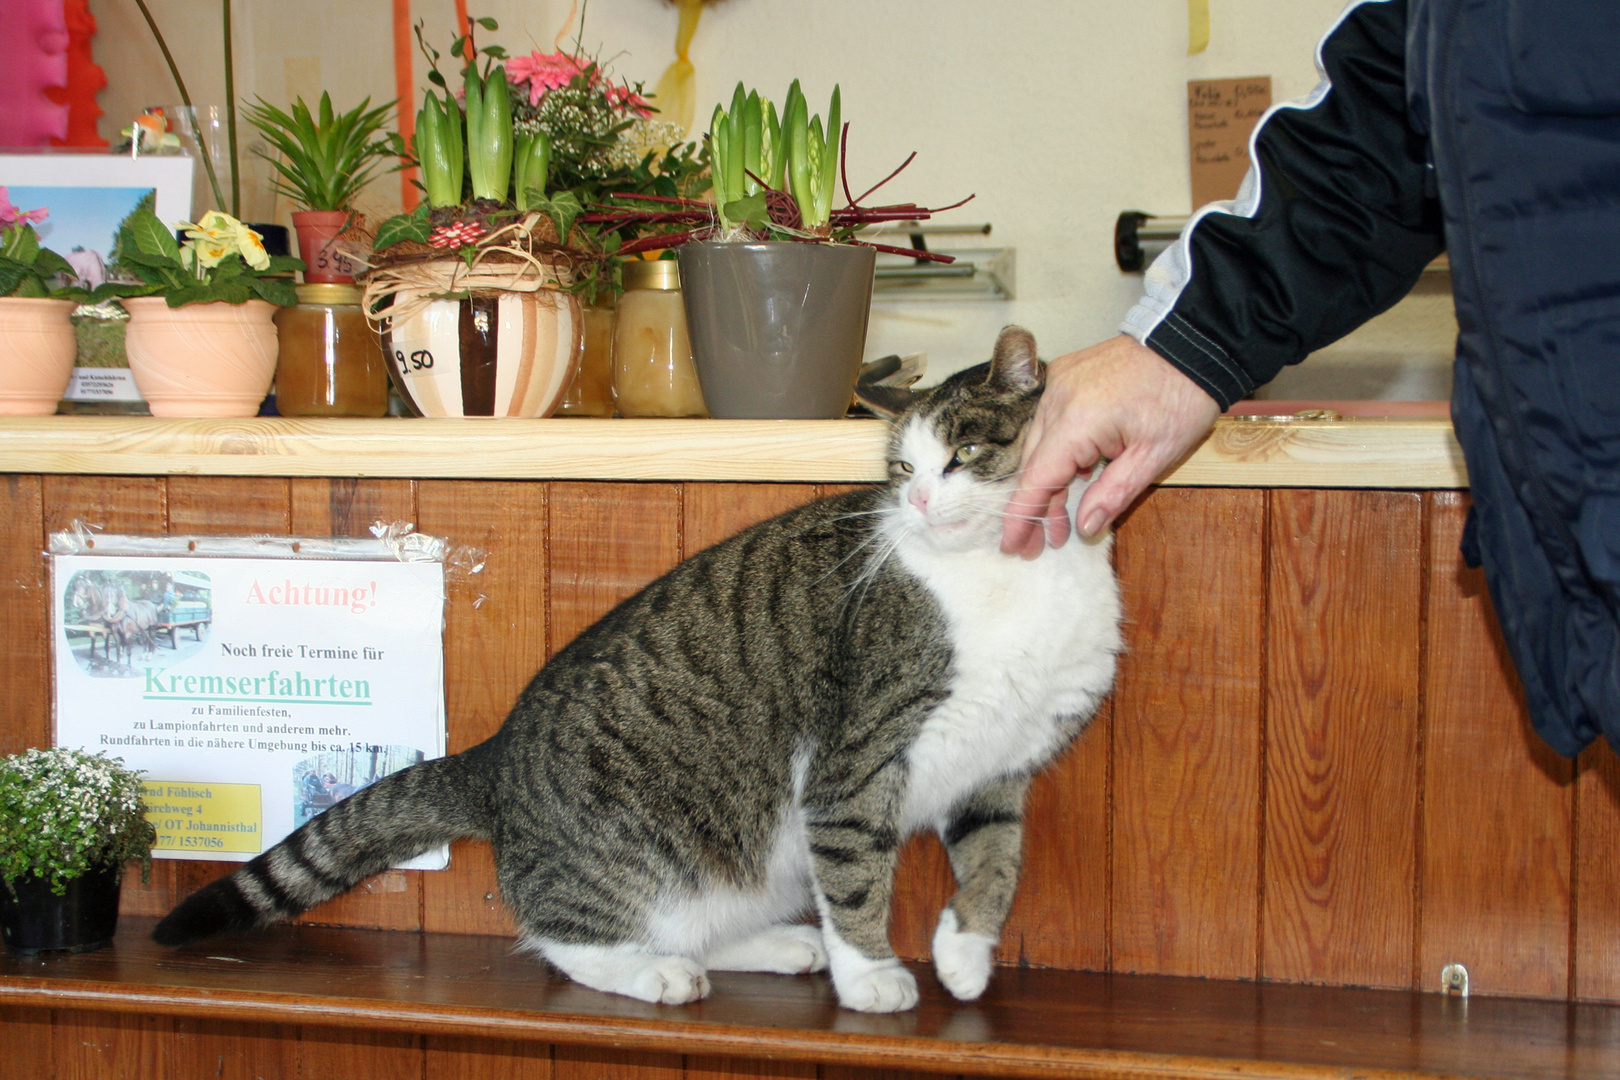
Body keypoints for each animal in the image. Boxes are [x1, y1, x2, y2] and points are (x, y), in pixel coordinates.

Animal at [152, 327, 1121, 1016]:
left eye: (963, 456)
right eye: (902, 467)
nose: (917, 501)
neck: (1011, 572)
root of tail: (495, 758)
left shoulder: (1000, 765)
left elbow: (996, 861)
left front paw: (966, 954)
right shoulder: (858, 755)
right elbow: (855, 871)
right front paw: (873, 976)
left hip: (753, 860)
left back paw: (770, 947)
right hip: (643, 850)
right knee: (563, 934)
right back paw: (655, 973)